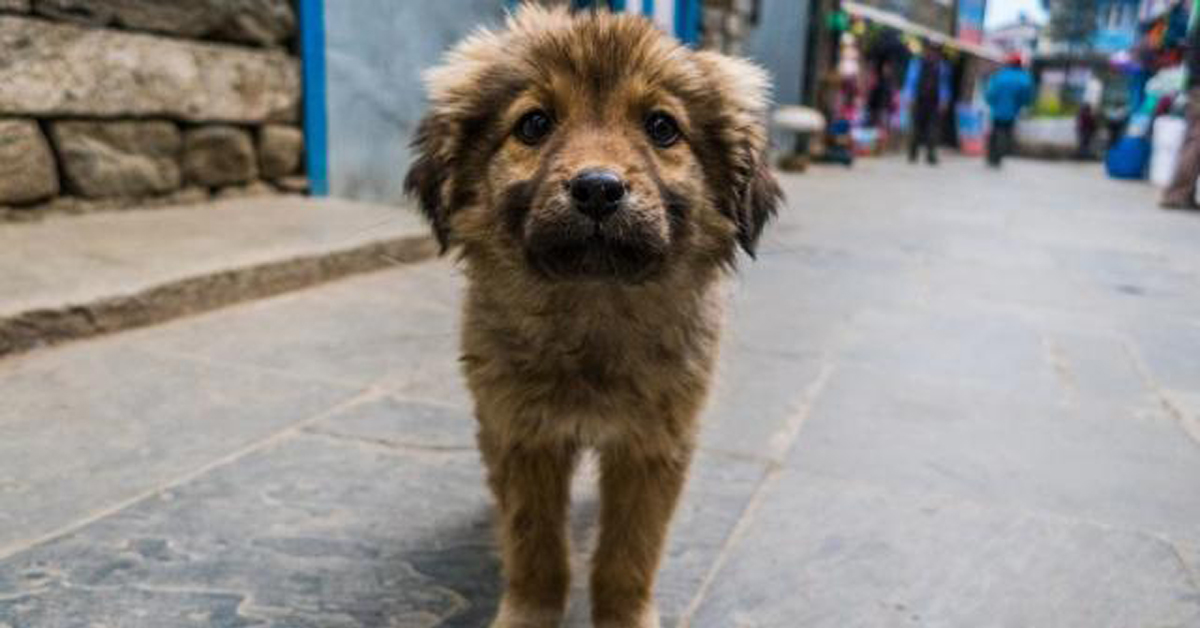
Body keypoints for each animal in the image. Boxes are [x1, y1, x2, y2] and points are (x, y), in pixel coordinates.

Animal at [403, 6, 777, 628]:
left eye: (661, 127)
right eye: (534, 124)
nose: (598, 190)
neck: (592, 308)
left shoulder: (653, 445)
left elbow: (628, 555)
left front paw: (625, 616)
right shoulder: (522, 433)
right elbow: (535, 546)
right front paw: (528, 613)